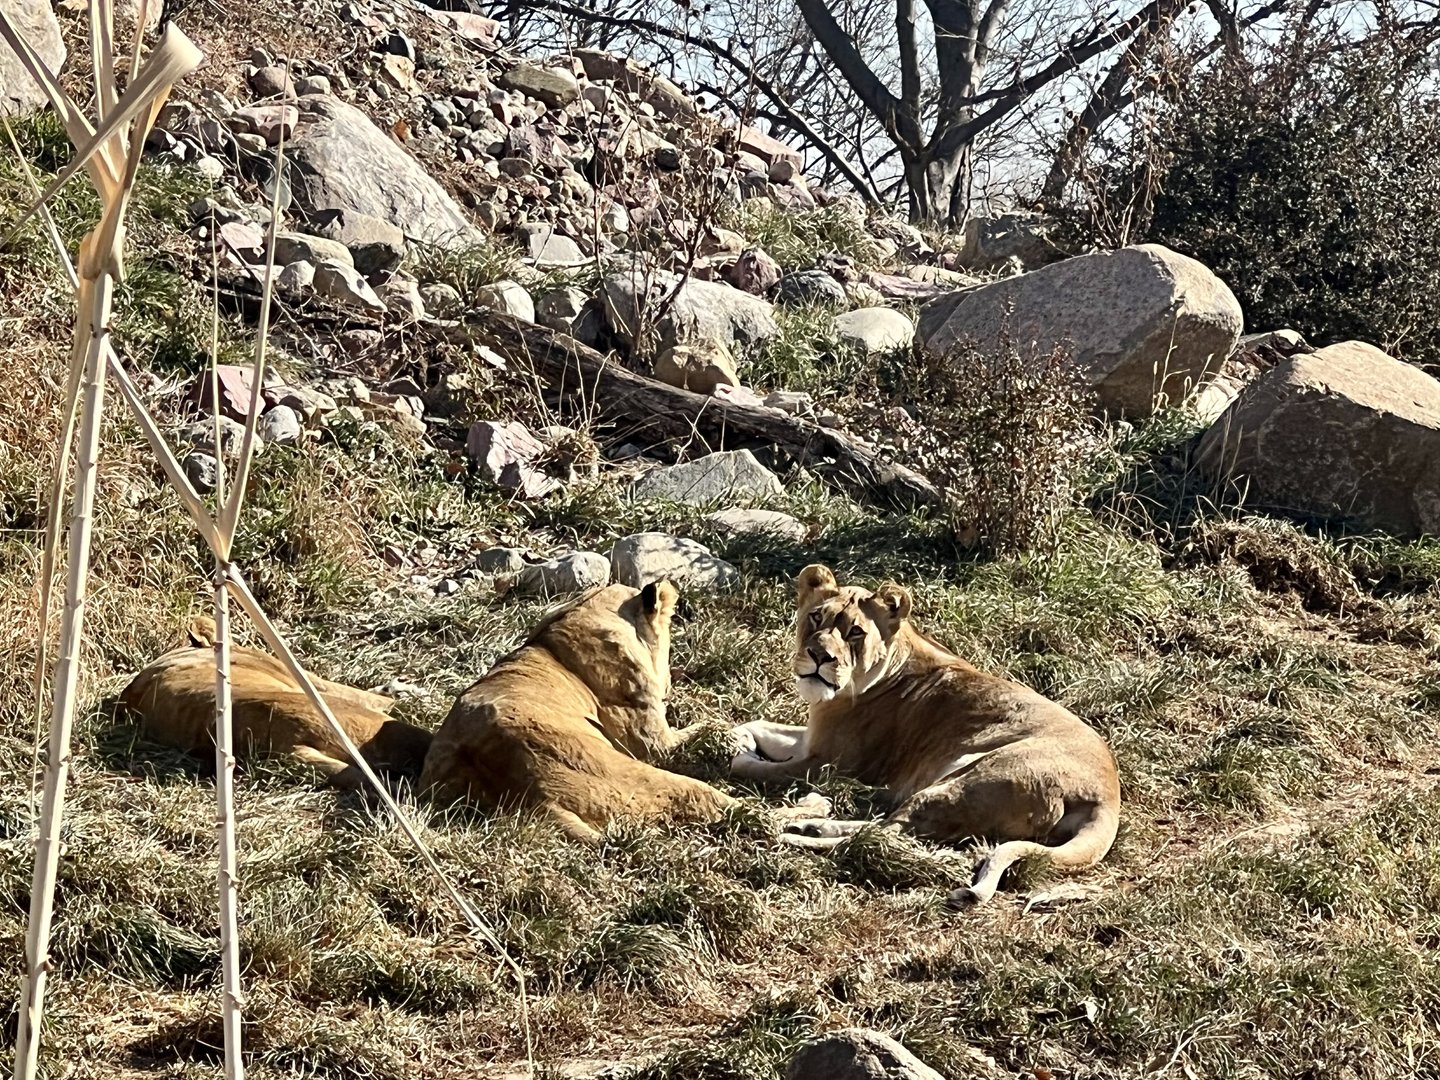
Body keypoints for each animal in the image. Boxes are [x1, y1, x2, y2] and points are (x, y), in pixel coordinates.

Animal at [420, 580, 826, 841]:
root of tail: (525, 792)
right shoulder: (656, 745)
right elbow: (708, 727)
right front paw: (733, 734)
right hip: (652, 777)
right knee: (749, 816)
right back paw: (815, 806)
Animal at [729, 564, 1121, 904]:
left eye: (855, 632)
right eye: (815, 617)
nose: (818, 655)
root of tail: (1108, 796)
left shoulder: (828, 764)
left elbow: (747, 767)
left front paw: (736, 754)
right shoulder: (811, 739)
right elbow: (754, 725)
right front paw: (739, 738)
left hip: (969, 775)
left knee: (887, 835)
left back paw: (798, 834)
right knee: (889, 828)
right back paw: (811, 825)